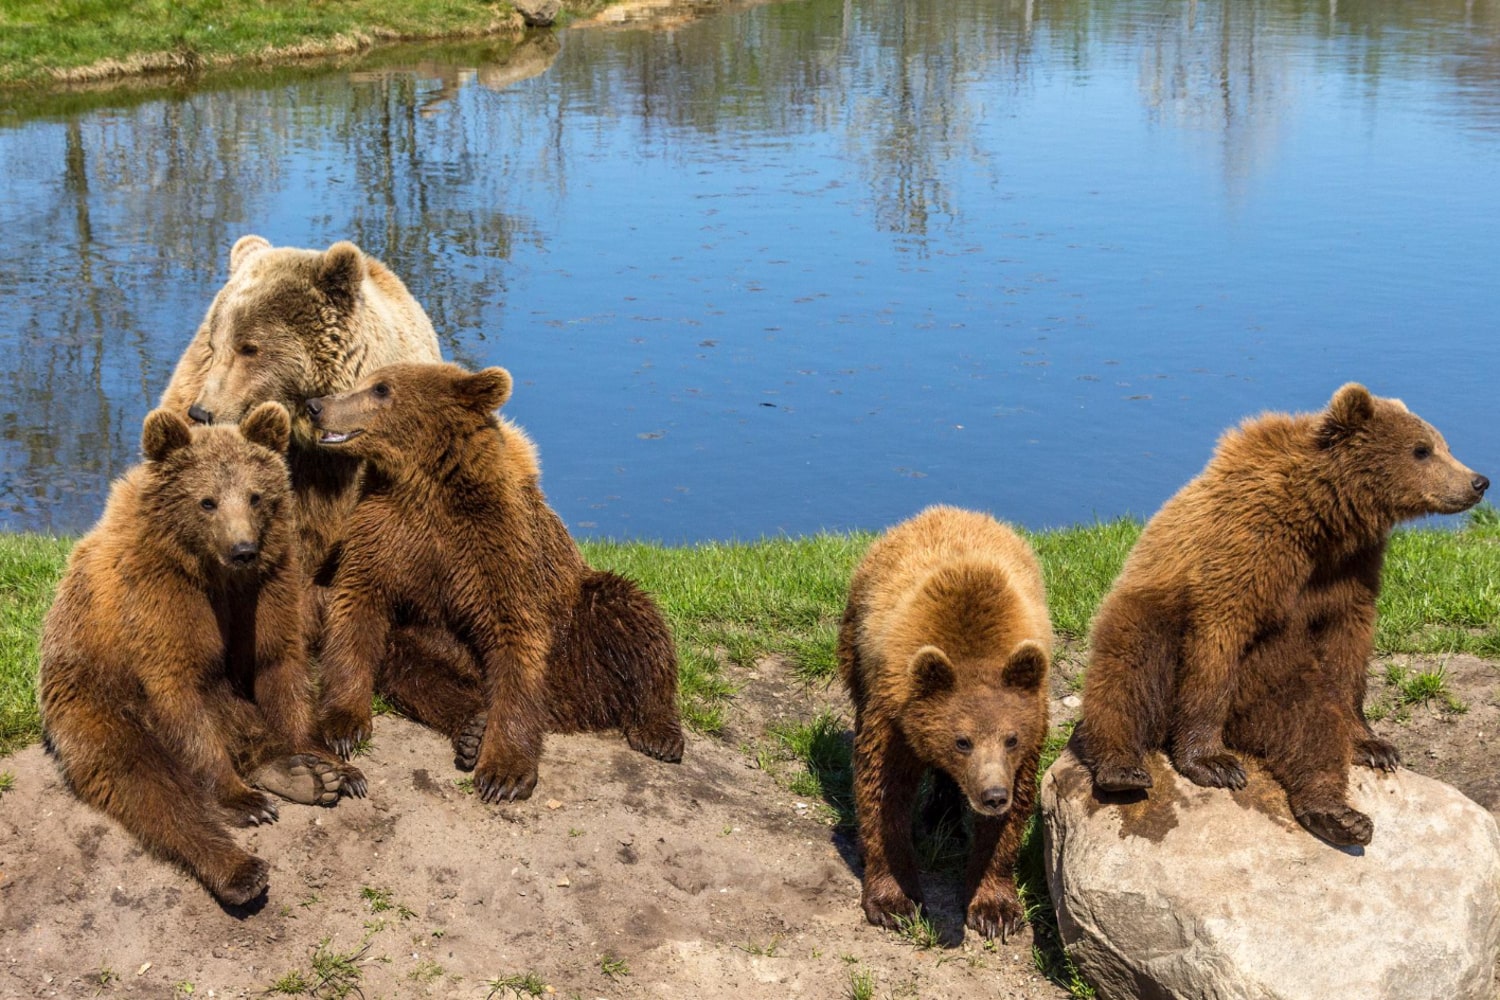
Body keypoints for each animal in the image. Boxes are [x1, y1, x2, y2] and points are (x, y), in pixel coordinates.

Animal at [39, 403, 365, 907]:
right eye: (207, 501)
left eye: (255, 496)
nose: (243, 548)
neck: (212, 570)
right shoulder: (161, 598)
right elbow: (181, 694)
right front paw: (239, 798)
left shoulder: (269, 585)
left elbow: (279, 664)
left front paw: (332, 764)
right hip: (95, 703)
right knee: (146, 785)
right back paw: (241, 866)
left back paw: (304, 778)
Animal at [306, 362, 684, 802]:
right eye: (364, 382)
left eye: (381, 389)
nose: (316, 405)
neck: (424, 484)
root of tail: (568, 709)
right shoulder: (384, 534)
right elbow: (357, 610)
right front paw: (343, 725)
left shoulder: (496, 548)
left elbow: (515, 635)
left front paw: (504, 772)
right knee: (409, 664)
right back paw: (472, 727)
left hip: (577, 624)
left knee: (630, 617)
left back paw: (658, 730)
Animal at [838, 505, 1052, 940]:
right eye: (961, 740)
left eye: (1011, 739)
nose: (992, 795)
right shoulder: (893, 715)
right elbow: (882, 792)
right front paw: (895, 901)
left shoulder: (1032, 727)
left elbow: (1014, 812)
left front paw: (994, 909)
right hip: (855, 649)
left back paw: (945, 815)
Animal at [1077, 383, 1489, 846]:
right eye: (1422, 449)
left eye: (1443, 444)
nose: (1478, 481)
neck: (1322, 518)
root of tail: (1241, 729)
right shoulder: (1248, 549)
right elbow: (1218, 641)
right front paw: (1212, 762)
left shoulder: (1347, 572)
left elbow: (1347, 650)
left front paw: (1374, 744)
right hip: (1153, 613)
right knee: (1127, 672)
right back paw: (1121, 768)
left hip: (1266, 686)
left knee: (1308, 722)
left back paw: (1338, 814)